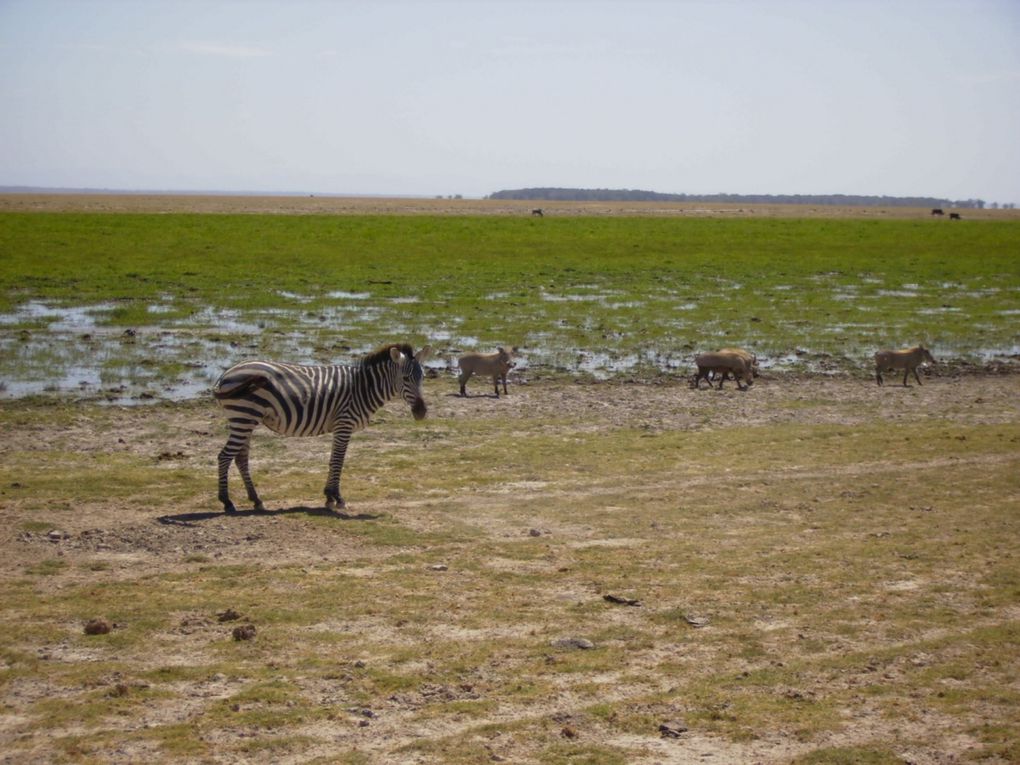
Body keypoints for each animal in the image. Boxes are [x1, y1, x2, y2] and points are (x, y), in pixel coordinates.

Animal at [215, 342, 430, 516]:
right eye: (405, 378)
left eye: (423, 378)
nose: (421, 412)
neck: (363, 388)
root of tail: (225, 374)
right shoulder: (345, 423)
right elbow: (338, 461)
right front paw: (338, 498)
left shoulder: (339, 426)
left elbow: (332, 460)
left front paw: (329, 496)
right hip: (243, 416)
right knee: (224, 456)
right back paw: (227, 502)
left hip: (246, 419)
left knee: (240, 458)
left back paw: (256, 500)